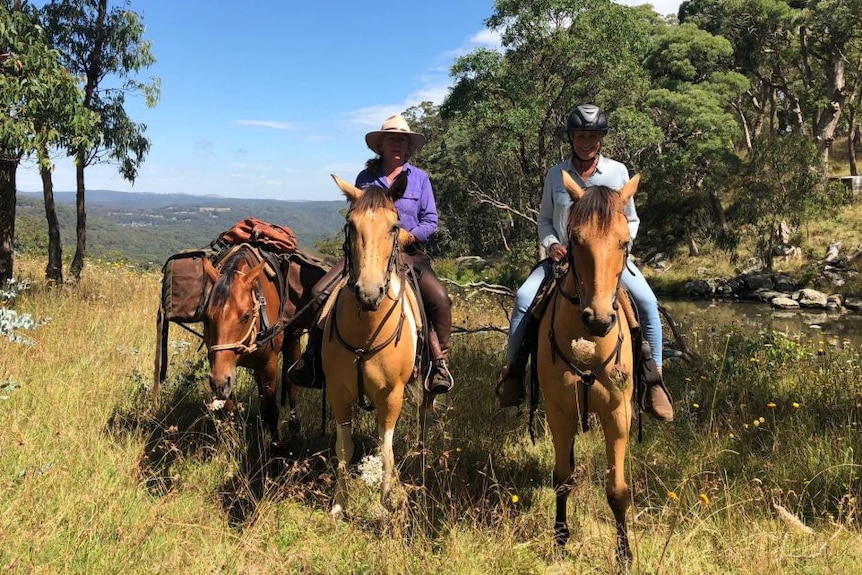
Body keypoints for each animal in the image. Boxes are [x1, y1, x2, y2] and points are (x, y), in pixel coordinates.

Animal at [202, 246, 324, 440]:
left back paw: (294, 424)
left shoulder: (269, 363)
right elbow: (230, 408)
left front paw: (275, 444)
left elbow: (271, 408)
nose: (218, 383)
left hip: (293, 341)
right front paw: (232, 439)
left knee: (291, 385)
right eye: (206, 318)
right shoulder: (223, 366)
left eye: (245, 316)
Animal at [322, 172, 424, 520]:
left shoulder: (391, 396)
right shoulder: (338, 392)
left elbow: (385, 449)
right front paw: (339, 503)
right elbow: (344, 447)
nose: (368, 293)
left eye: (394, 227)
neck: (365, 334)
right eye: (350, 225)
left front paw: (385, 503)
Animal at [540, 172, 640, 568]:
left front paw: (625, 555)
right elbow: (562, 479)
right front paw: (560, 540)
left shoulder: (618, 412)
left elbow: (617, 490)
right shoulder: (559, 411)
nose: (598, 319)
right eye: (575, 240)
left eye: (624, 242)